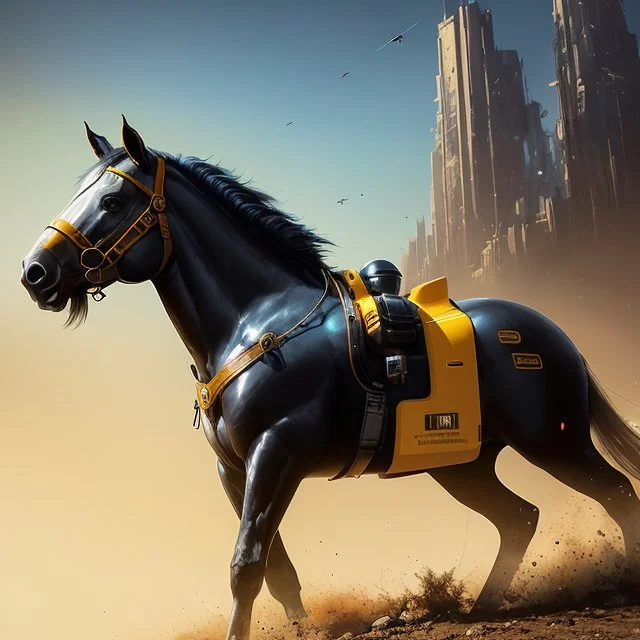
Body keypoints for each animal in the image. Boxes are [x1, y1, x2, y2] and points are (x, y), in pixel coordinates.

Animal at [21, 118, 640, 640]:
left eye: (112, 200)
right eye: (80, 195)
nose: (35, 273)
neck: (258, 322)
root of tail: (555, 334)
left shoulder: (278, 453)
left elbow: (246, 563)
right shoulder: (235, 468)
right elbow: (275, 570)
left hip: (553, 442)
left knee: (616, 494)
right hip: (462, 463)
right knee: (520, 518)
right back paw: (481, 607)